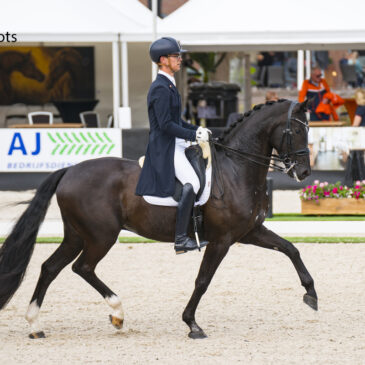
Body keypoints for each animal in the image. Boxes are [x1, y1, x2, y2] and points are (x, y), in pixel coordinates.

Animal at [0, 98, 316, 336]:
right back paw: (117, 312)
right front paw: (192, 324)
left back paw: (36, 325)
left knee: (50, 268)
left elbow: (291, 248)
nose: (303, 173)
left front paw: (311, 294)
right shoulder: (222, 240)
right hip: (101, 236)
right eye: (297, 131)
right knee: (83, 267)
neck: (236, 168)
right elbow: (203, 280)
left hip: (77, 235)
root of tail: (69, 170)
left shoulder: (249, 232)